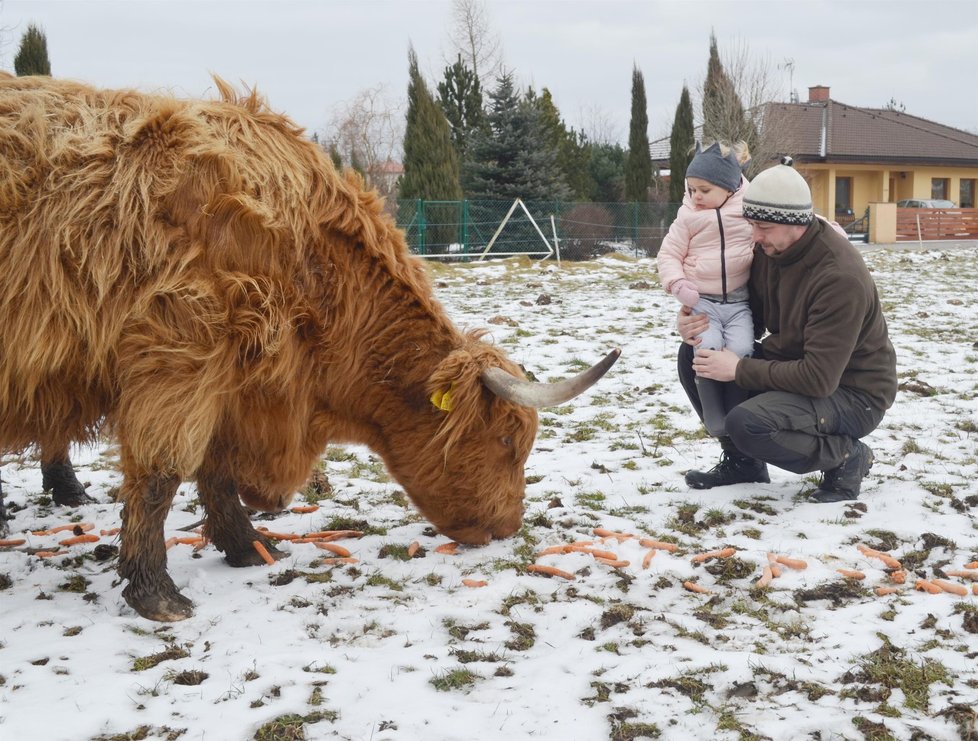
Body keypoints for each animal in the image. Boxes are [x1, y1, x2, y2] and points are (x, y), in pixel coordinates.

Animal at [1, 73, 616, 620]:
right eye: (508, 439)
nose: (509, 526)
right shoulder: (177, 361)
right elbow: (161, 475)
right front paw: (155, 591)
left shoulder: (227, 385)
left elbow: (214, 470)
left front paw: (248, 547)